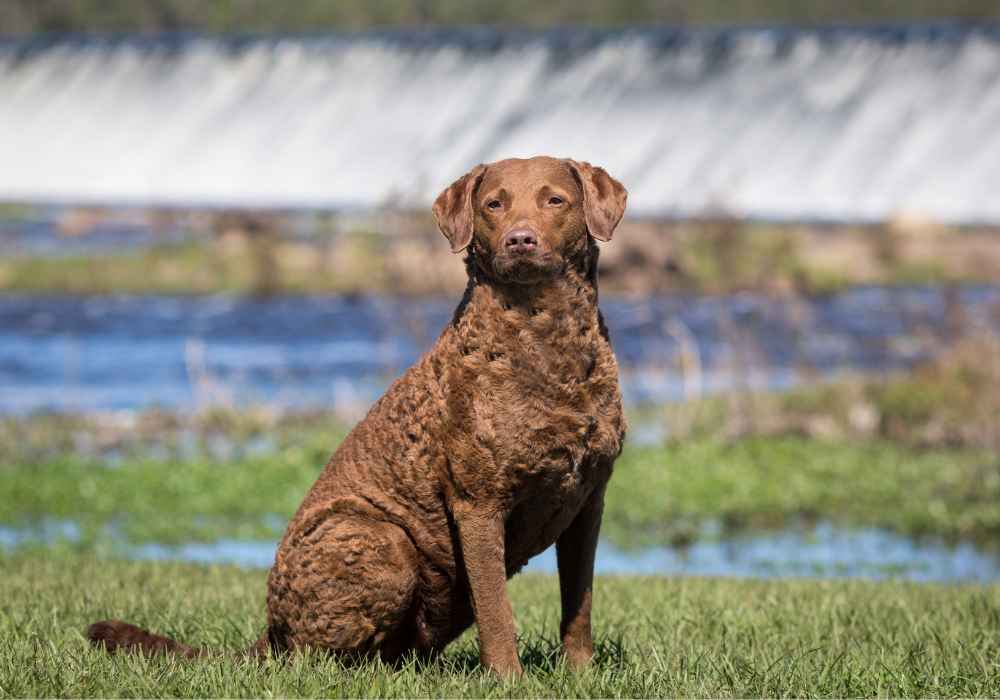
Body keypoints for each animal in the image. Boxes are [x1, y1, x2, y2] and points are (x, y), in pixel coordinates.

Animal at [90, 156, 628, 676]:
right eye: (494, 204)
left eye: (555, 200)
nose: (520, 239)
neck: (545, 340)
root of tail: (271, 630)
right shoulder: (479, 502)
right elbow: (497, 611)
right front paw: (507, 681)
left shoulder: (589, 500)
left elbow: (578, 604)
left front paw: (580, 675)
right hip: (381, 539)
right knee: (315, 658)